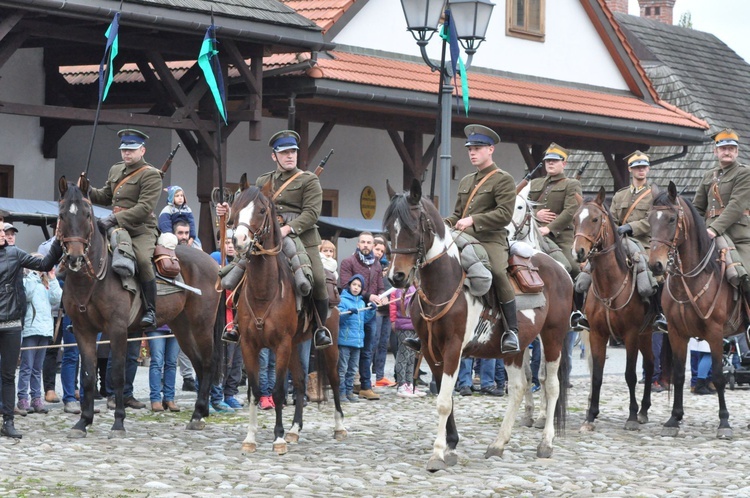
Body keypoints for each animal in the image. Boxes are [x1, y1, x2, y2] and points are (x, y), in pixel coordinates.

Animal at [57, 177, 222, 438]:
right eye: (62, 215)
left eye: (86, 214)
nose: (74, 258)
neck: (93, 278)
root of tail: (213, 263)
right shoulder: (84, 331)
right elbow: (88, 376)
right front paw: (83, 421)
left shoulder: (117, 330)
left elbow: (117, 374)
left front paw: (118, 422)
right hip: (182, 327)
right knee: (197, 362)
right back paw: (201, 410)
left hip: (202, 325)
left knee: (207, 362)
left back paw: (197, 415)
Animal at [231, 185, 348, 454]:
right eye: (236, 207)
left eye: (261, 210)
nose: (238, 240)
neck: (264, 291)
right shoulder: (248, 346)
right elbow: (255, 391)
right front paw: (251, 438)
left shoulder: (281, 345)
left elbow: (277, 391)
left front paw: (278, 438)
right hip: (296, 346)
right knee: (302, 382)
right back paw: (295, 429)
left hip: (328, 346)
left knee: (335, 380)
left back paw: (338, 427)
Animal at [384, 180, 572, 470]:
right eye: (388, 231)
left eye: (412, 227)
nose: (397, 277)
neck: (444, 282)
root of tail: (560, 268)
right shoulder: (430, 349)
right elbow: (447, 397)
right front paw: (451, 445)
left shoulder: (453, 348)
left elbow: (443, 402)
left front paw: (438, 454)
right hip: (516, 348)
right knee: (518, 388)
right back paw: (498, 444)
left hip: (553, 337)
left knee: (551, 386)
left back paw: (546, 443)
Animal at [576, 189, 656, 430]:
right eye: (574, 219)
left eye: (595, 219)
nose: (579, 251)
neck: (609, 286)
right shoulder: (597, 334)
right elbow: (597, 374)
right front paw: (591, 415)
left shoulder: (630, 335)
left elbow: (630, 375)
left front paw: (631, 416)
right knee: (650, 364)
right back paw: (644, 410)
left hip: (646, 333)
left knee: (649, 365)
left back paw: (642, 411)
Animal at [648, 181, 748, 438]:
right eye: (650, 219)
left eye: (671, 219)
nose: (655, 265)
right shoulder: (676, 333)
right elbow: (678, 375)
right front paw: (674, 418)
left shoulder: (715, 333)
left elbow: (719, 375)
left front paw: (724, 422)